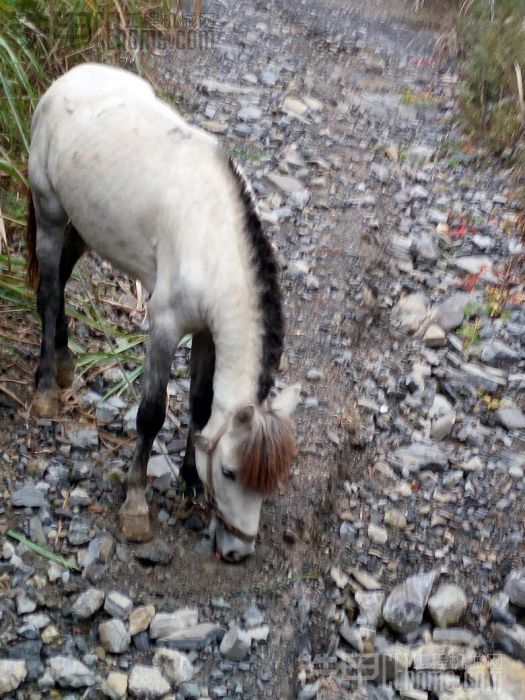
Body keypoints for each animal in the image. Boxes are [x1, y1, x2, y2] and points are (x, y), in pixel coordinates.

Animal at [27, 64, 298, 564]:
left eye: (268, 483)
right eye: (229, 472)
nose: (237, 551)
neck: (212, 237)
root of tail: (68, 78)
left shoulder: (209, 332)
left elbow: (202, 404)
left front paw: (190, 480)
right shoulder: (166, 326)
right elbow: (151, 412)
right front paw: (135, 505)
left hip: (88, 224)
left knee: (67, 270)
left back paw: (67, 360)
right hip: (50, 210)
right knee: (50, 292)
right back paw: (45, 389)